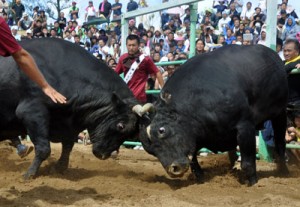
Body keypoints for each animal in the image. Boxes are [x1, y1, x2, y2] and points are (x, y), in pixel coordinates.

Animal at [0, 38, 149, 180]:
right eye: (120, 125)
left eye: (132, 134)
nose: (104, 155)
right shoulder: (32, 112)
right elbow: (43, 148)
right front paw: (29, 174)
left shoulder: (69, 124)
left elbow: (67, 146)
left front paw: (59, 168)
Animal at [139, 44, 290, 185]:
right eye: (151, 151)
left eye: (162, 130)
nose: (174, 169)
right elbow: (194, 161)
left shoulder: (245, 126)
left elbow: (247, 163)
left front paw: (253, 182)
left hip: (280, 113)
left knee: (280, 142)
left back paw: (284, 171)